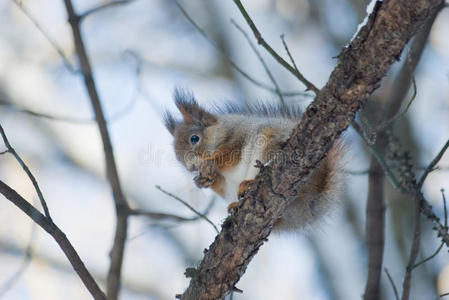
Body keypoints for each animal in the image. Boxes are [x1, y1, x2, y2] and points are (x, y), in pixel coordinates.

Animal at [164, 89, 344, 232]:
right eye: (178, 158)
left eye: (194, 138)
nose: (191, 167)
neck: (221, 132)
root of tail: (314, 195)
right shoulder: (225, 182)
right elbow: (219, 184)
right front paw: (201, 181)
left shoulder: (239, 135)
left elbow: (229, 155)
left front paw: (211, 164)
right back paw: (236, 205)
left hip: (269, 141)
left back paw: (249, 183)